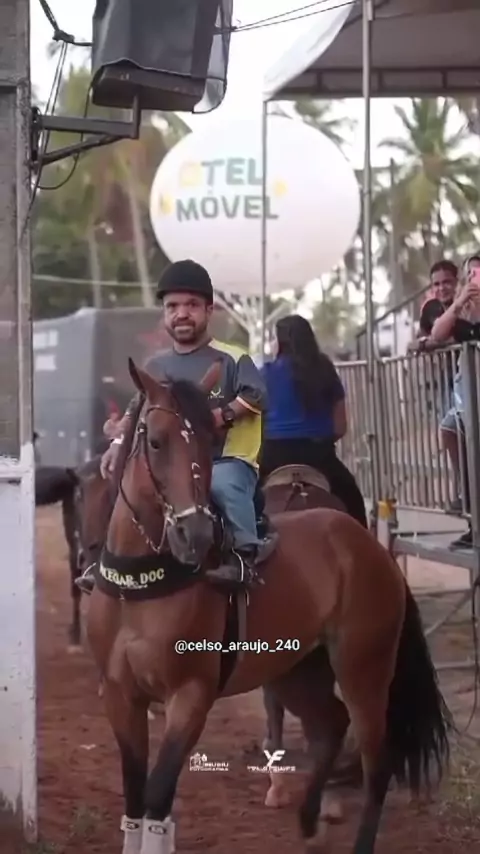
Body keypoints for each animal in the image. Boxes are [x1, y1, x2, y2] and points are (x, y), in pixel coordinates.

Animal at [85, 357, 452, 854]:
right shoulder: (121, 695)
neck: (140, 584)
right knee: (330, 724)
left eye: (210, 439)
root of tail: (368, 547)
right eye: (156, 441)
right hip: (296, 669)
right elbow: (134, 796)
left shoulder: (191, 695)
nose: (194, 534)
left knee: (377, 759)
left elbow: (158, 797)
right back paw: (308, 818)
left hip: (364, 669)